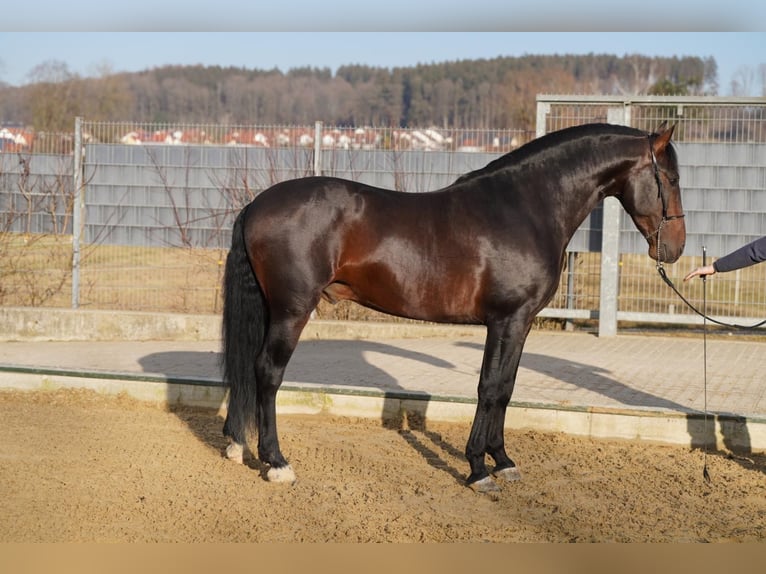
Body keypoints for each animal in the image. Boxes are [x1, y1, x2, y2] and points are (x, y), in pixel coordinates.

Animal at [219, 121, 688, 496]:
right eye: (669, 177)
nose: (675, 249)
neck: (526, 207)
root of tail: (256, 204)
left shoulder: (521, 323)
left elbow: (507, 388)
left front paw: (503, 461)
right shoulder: (505, 320)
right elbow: (490, 388)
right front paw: (479, 469)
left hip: (272, 309)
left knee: (248, 369)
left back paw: (237, 445)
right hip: (292, 310)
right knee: (268, 373)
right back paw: (277, 462)